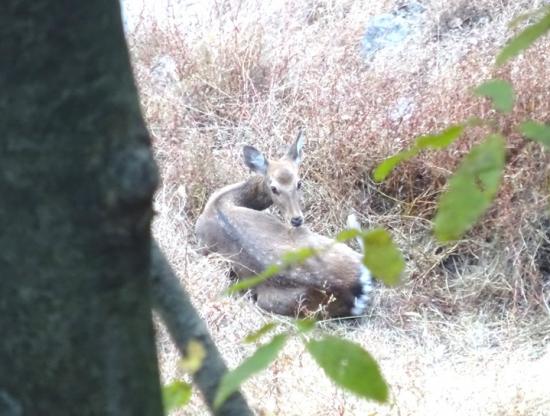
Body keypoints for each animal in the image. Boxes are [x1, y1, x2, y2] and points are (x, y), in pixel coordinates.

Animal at [195, 132, 376, 316]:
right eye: (274, 188)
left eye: (299, 182)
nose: (296, 219)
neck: (222, 201)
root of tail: (353, 290)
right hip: (323, 242)